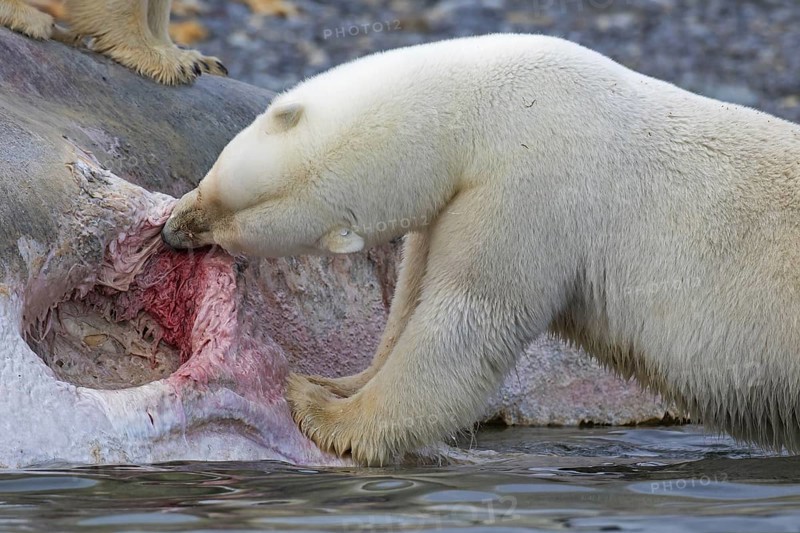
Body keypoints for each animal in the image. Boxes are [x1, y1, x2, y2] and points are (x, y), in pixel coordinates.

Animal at [162, 34, 800, 466]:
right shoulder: (457, 199)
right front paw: (337, 381)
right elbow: (410, 299)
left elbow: (471, 315)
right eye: (216, 180)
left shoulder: (529, 184)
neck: (491, 105)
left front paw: (322, 411)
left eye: (236, 217)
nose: (174, 228)